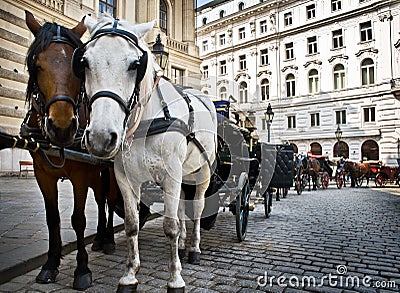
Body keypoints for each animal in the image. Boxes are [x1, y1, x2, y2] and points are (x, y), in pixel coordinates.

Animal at [22, 11, 119, 290]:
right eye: (37, 65)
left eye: (78, 67)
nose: (62, 126)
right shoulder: (42, 174)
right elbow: (52, 218)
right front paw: (50, 263)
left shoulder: (80, 174)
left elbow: (78, 219)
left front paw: (82, 269)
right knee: (101, 199)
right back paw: (99, 238)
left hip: (107, 170)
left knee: (108, 200)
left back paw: (108, 239)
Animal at [79, 14, 217, 290]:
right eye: (85, 62)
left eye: (135, 64)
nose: (100, 137)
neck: (147, 120)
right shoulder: (125, 177)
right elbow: (132, 224)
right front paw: (130, 274)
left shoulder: (171, 174)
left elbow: (170, 225)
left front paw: (175, 278)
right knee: (182, 207)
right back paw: (183, 246)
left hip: (202, 172)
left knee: (196, 208)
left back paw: (194, 248)